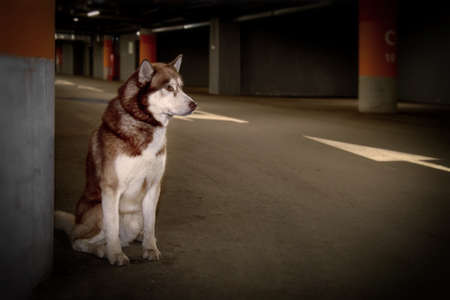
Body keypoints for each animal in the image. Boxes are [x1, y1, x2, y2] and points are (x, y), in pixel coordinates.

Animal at [54, 55, 197, 266]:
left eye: (181, 87)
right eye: (170, 88)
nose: (195, 105)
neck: (145, 125)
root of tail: (76, 221)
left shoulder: (154, 186)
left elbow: (151, 224)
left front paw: (150, 248)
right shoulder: (112, 188)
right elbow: (112, 227)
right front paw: (115, 255)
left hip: (136, 215)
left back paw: (138, 237)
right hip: (99, 210)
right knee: (78, 241)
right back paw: (101, 250)